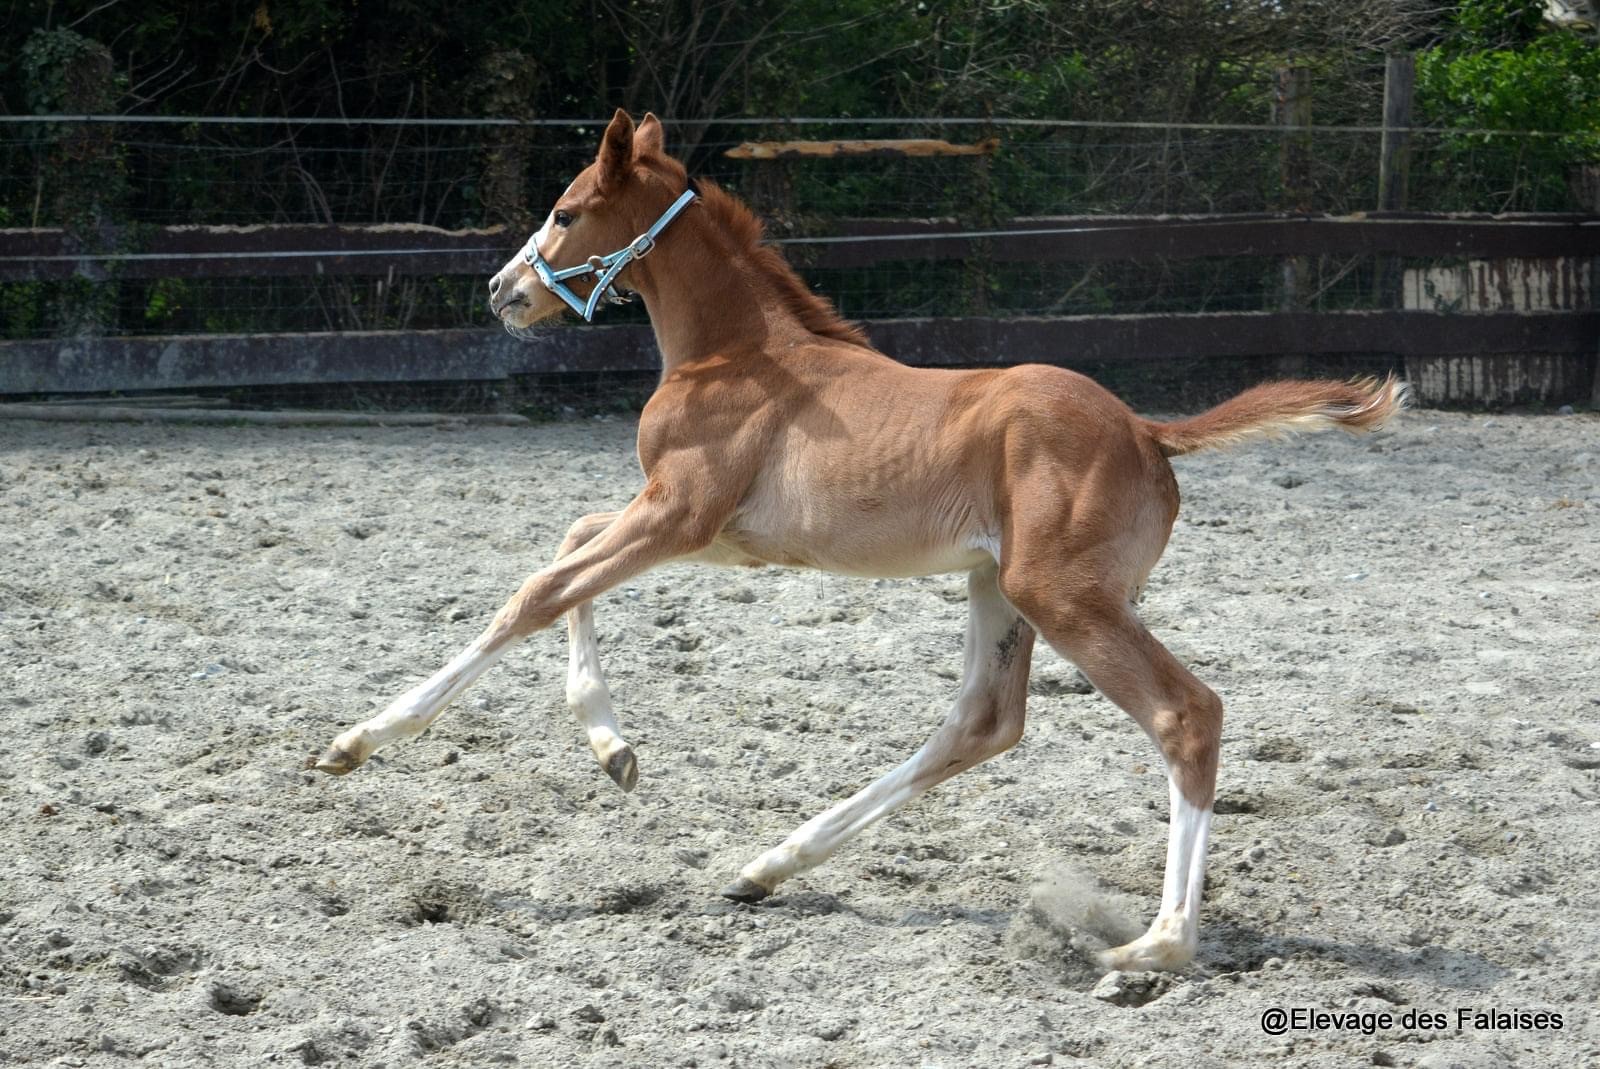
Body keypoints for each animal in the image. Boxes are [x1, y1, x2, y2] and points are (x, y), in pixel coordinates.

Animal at [318, 112, 1408, 972]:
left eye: (568, 209)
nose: (501, 291)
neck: (736, 354)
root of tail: (1148, 429)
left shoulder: (678, 514)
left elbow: (536, 592)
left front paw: (357, 739)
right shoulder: (705, 528)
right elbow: (565, 550)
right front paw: (612, 747)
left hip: (1064, 595)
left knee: (1185, 714)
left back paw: (1157, 944)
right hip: (999, 586)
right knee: (982, 721)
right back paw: (767, 866)